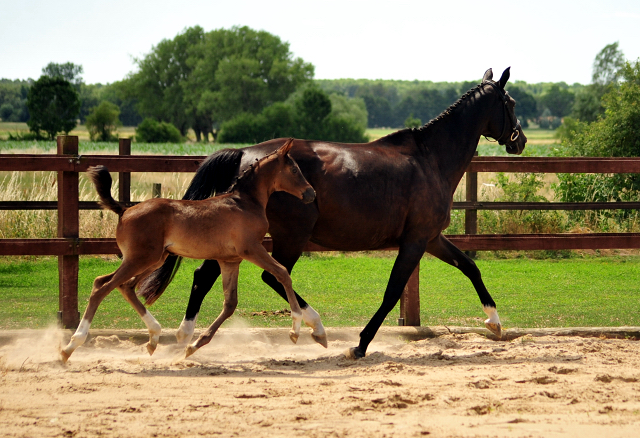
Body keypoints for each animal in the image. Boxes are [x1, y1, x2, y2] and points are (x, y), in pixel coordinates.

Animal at [59, 139, 320, 362]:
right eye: (294, 170)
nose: (311, 194)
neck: (245, 202)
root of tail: (124, 210)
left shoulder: (230, 260)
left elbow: (230, 303)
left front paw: (194, 345)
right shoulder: (251, 250)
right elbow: (282, 273)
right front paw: (296, 329)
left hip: (154, 259)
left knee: (123, 286)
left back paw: (154, 337)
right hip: (140, 258)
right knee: (102, 286)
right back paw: (70, 346)